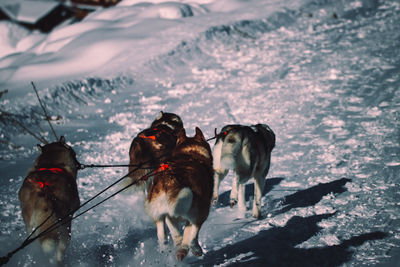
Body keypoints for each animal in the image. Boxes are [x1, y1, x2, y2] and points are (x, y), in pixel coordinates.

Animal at [145, 127, 214, 262]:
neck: (190, 153)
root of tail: (170, 180)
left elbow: (180, 234)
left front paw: (181, 248)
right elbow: (190, 233)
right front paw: (190, 248)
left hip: (159, 211)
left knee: (163, 234)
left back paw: (173, 249)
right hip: (201, 211)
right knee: (193, 235)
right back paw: (195, 249)